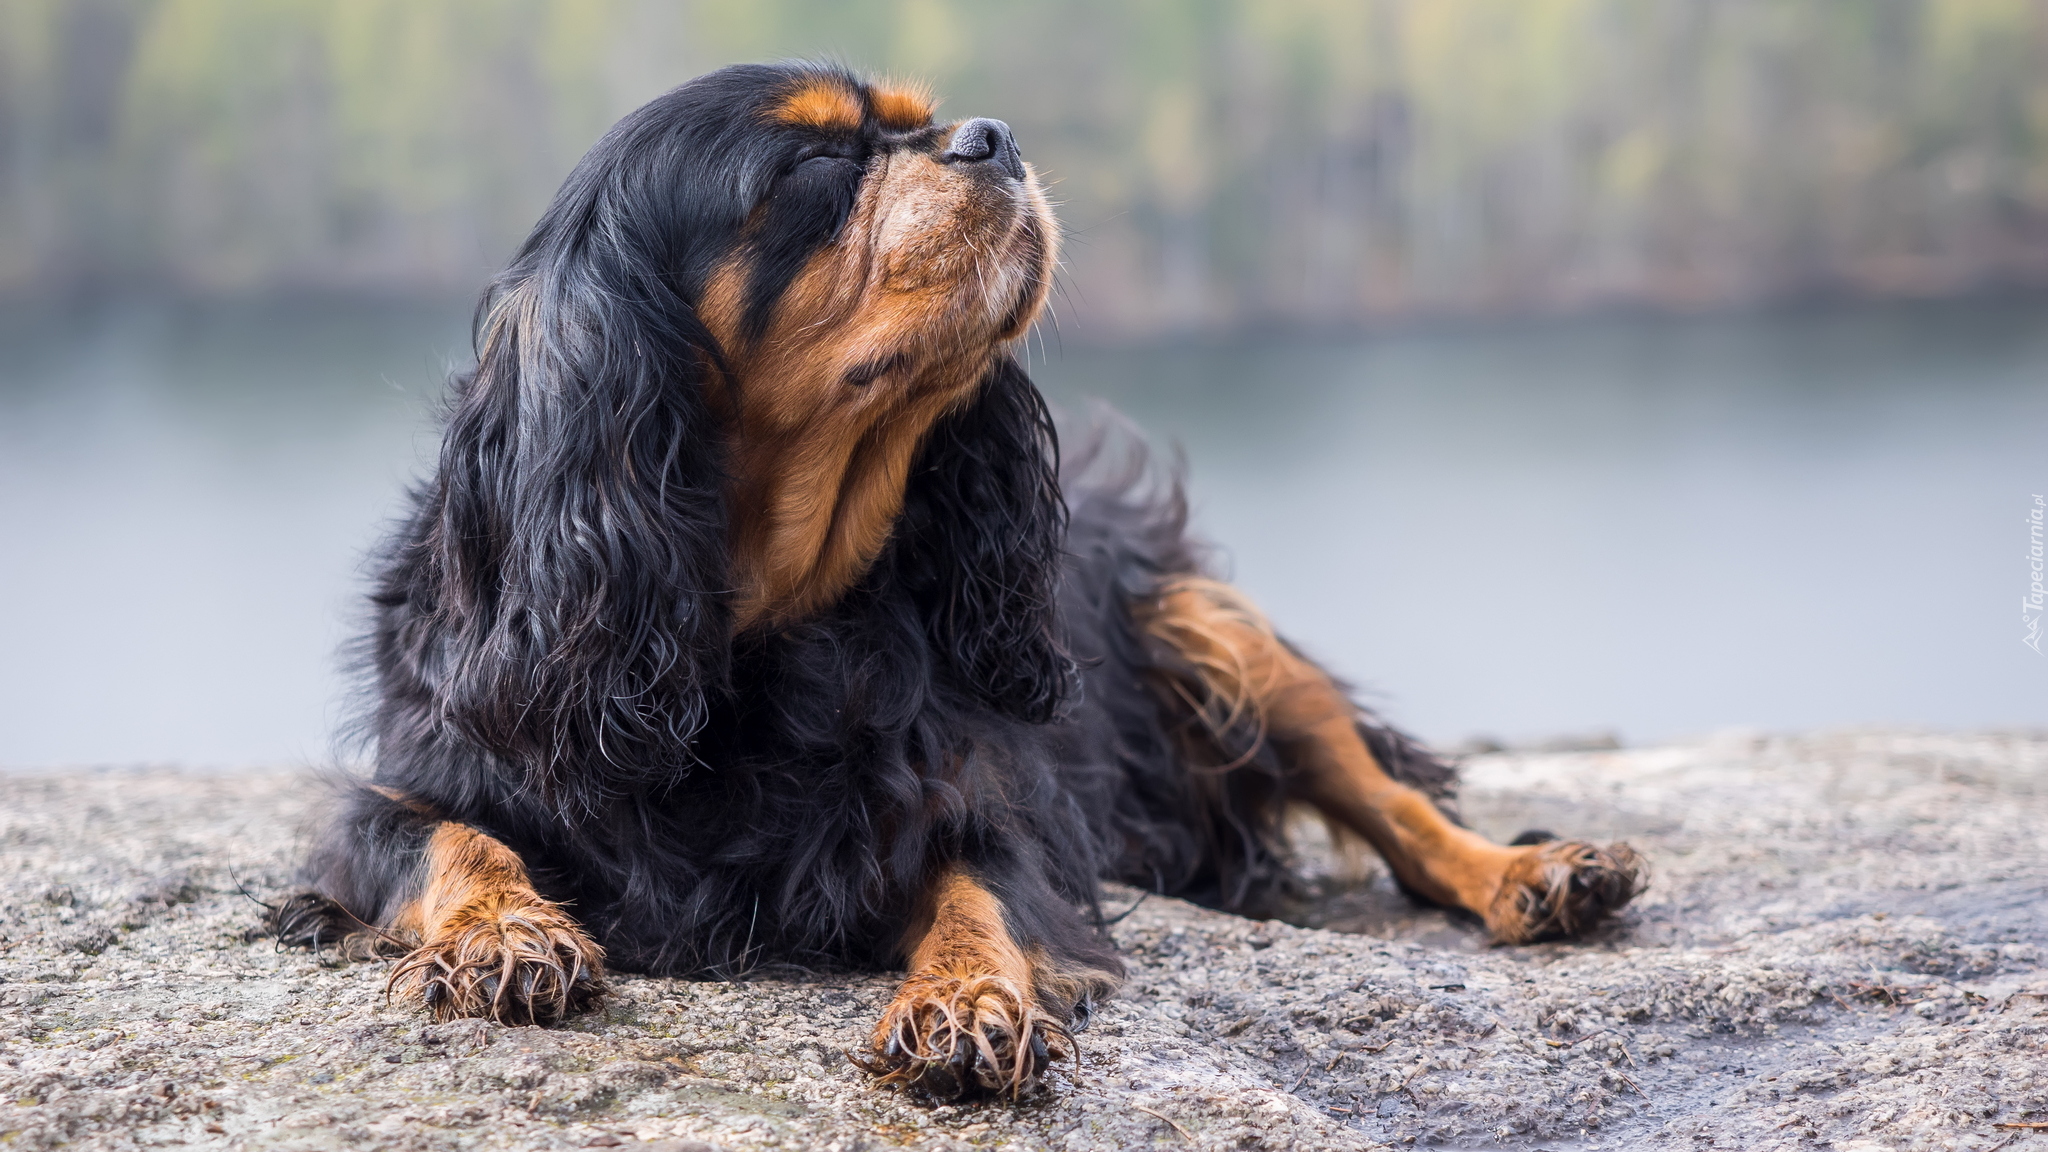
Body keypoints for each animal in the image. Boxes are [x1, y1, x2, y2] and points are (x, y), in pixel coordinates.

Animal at [276, 60, 1646, 1090]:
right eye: (812, 167)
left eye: (918, 124)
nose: (993, 137)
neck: (756, 620)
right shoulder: (425, 770)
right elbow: (441, 839)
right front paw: (507, 934)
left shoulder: (997, 808)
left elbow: (975, 893)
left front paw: (966, 1002)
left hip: (1211, 624)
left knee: (1397, 809)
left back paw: (1535, 875)